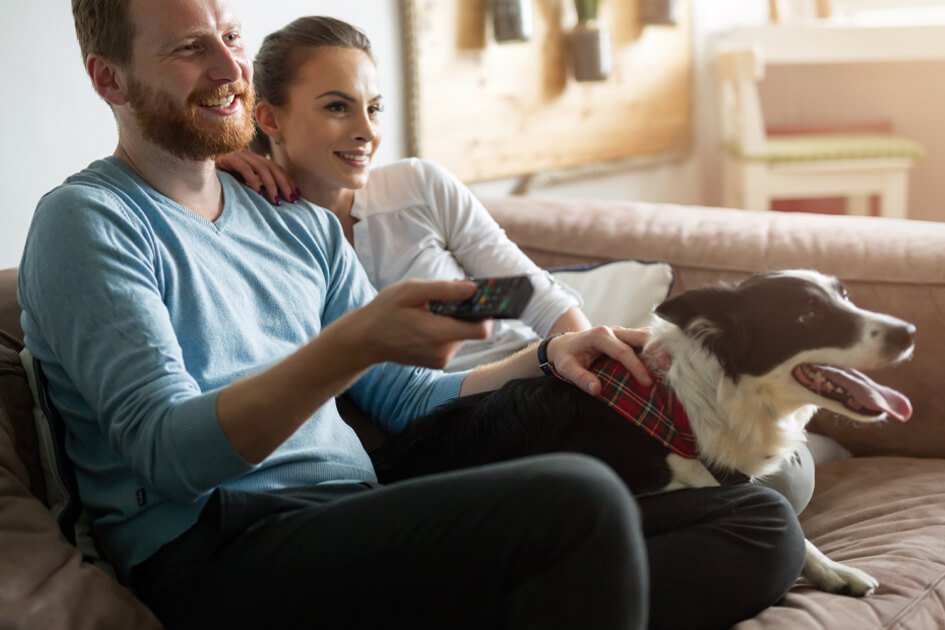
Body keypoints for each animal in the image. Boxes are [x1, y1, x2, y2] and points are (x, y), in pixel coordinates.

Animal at [370, 270, 916, 596]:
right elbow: (785, 517)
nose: (909, 332)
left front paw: (834, 571)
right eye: (807, 315)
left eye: (845, 296)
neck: (677, 411)